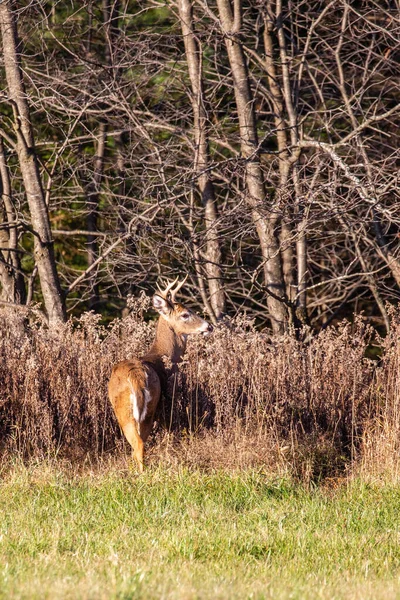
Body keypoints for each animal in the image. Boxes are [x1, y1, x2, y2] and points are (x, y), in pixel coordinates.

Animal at [106, 278, 212, 474]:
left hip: (131, 410)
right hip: (147, 408)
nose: (209, 326)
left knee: (137, 445)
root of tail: (136, 377)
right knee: (139, 444)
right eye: (185, 314)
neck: (161, 355)